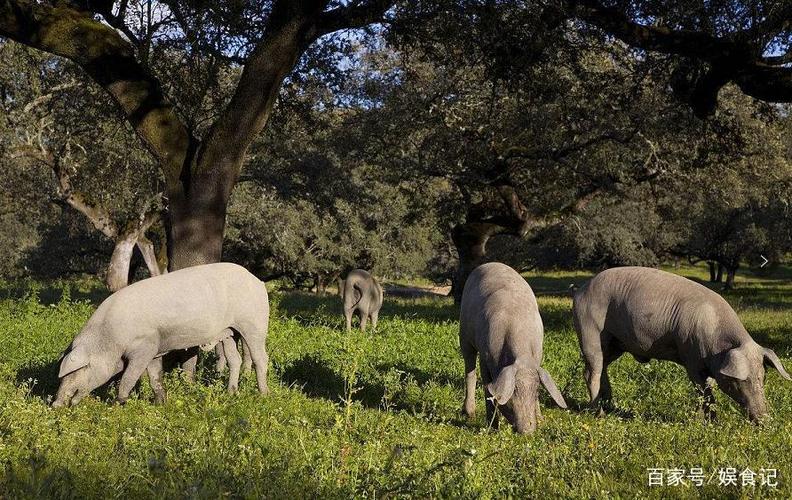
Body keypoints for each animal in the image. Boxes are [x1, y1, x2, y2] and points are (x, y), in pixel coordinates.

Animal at [53, 262, 270, 406]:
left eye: (79, 369)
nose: (55, 404)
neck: (110, 338)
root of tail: (258, 282)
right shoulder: (154, 349)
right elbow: (155, 376)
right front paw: (161, 403)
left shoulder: (144, 347)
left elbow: (129, 377)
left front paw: (119, 403)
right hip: (229, 332)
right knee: (235, 359)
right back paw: (231, 393)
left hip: (254, 324)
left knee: (261, 358)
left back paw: (263, 394)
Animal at [458, 262, 568, 434]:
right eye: (512, 394)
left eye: (536, 391)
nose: (528, 431)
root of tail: (488, 264)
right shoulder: (485, 354)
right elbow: (487, 386)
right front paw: (492, 428)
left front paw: (541, 421)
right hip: (464, 334)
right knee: (470, 369)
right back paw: (469, 413)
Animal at [572, 266, 788, 422]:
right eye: (741, 381)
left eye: (762, 377)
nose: (764, 420)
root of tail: (579, 290)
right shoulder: (690, 358)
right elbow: (703, 391)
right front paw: (708, 422)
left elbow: (708, 389)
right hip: (589, 330)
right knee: (591, 371)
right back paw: (598, 413)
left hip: (615, 344)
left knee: (602, 368)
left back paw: (611, 407)